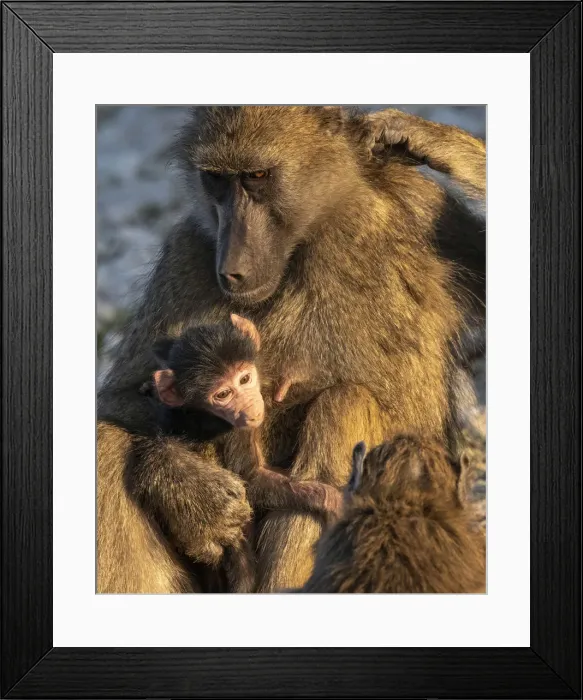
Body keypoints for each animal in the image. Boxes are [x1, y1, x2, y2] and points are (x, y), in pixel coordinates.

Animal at [137, 313, 343, 592]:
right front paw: (329, 499)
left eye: (244, 379)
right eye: (223, 394)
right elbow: (250, 479)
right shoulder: (235, 429)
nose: (248, 405)